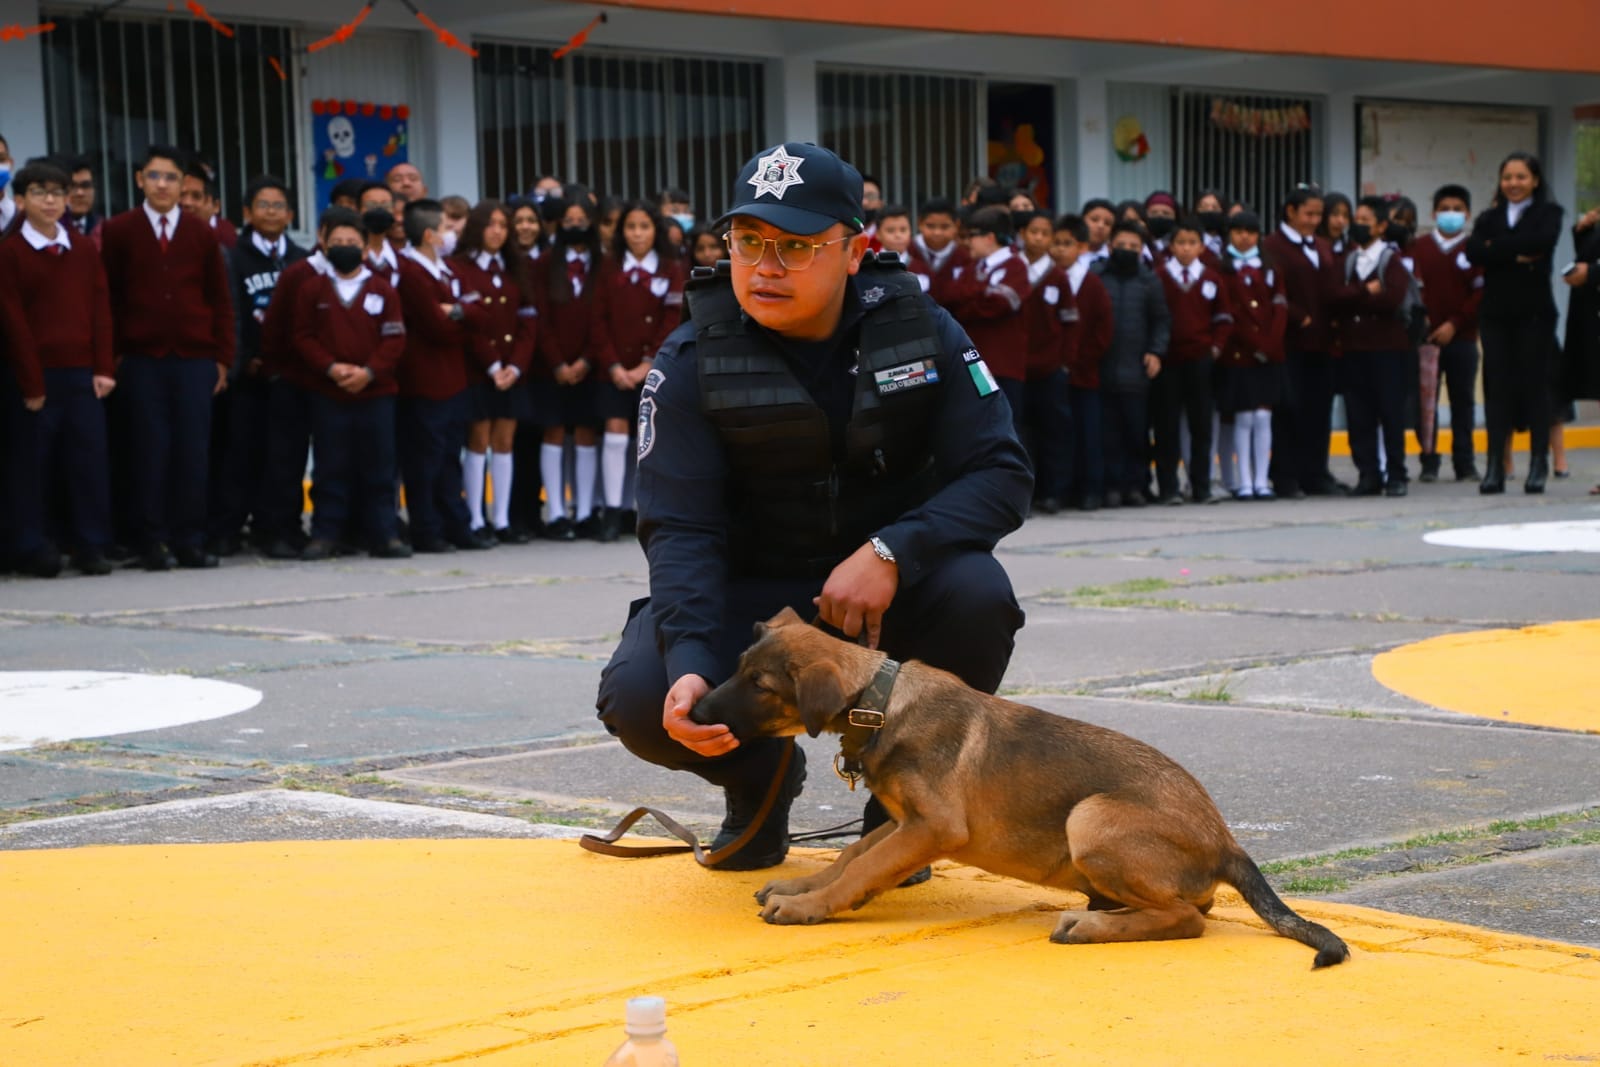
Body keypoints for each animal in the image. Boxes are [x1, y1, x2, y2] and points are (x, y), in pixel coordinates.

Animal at [691, 607, 1350, 966]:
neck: (878, 702)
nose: (691, 712)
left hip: (1090, 817)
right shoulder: (903, 823)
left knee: (1189, 917)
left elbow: (860, 867)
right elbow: (851, 856)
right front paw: (801, 886)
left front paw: (808, 908)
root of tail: (1226, 842)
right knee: (1195, 905)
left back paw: (1091, 926)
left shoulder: (933, 826)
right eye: (739, 668)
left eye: (760, 685)